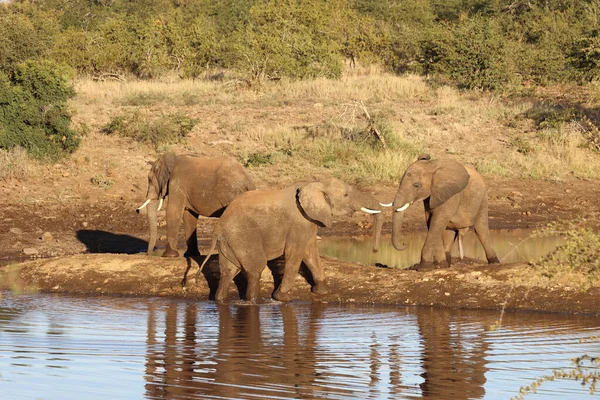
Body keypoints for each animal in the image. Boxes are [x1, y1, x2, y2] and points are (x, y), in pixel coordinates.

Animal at [192, 178, 384, 304]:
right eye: (345, 195)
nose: (375, 251)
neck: (316, 183)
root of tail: (218, 229)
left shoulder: (308, 221)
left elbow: (310, 251)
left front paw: (322, 292)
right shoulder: (298, 222)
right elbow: (296, 254)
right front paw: (282, 298)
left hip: (230, 243)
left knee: (228, 271)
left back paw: (220, 300)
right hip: (243, 237)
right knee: (255, 269)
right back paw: (254, 301)